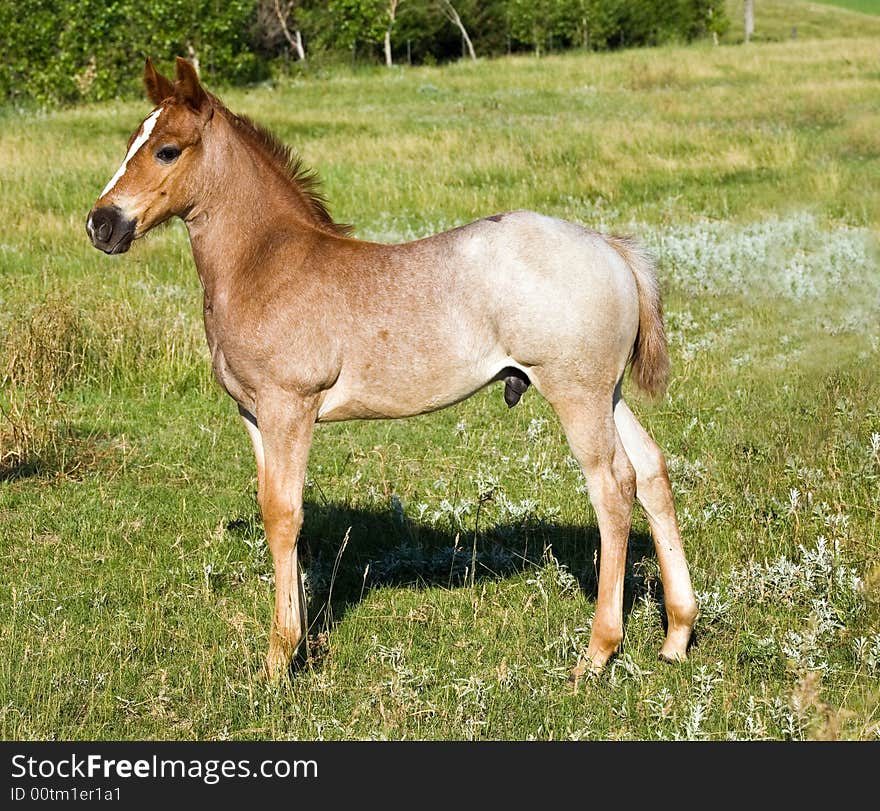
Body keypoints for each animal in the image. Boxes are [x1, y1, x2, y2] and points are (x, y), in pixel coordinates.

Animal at [86, 57, 696, 680]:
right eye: (131, 141)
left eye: (167, 150)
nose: (101, 225)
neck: (265, 263)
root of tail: (610, 247)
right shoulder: (254, 415)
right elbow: (275, 512)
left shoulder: (290, 407)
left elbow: (285, 516)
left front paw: (280, 659)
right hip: (607, 392)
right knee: (651, 471)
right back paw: (676, 634)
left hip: (575, 393)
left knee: (613, 487)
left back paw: (597, 653)